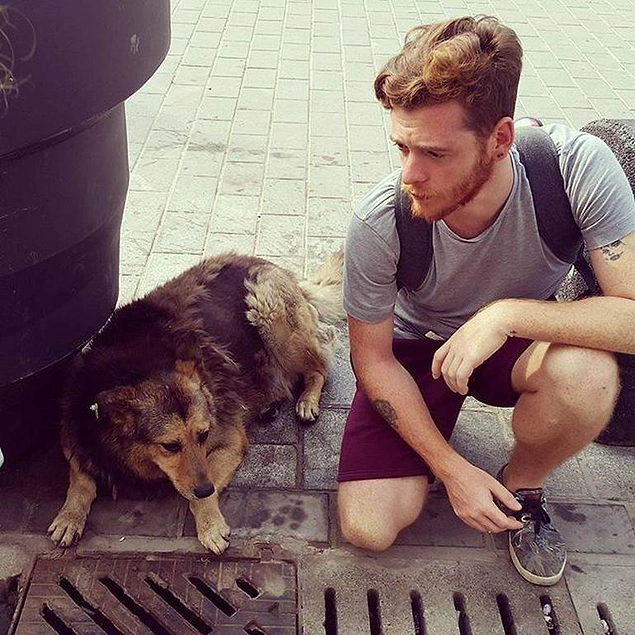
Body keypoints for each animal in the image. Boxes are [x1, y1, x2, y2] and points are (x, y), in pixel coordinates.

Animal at [47, 251, 346, 556]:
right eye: (170, 446)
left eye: (203, 435)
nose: (205, 489)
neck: (137, 368)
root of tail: (277, 268)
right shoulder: (74, 430)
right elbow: (80, 479)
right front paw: (69, 516)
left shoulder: (229, 441)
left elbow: (197, 496)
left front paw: (210, 525)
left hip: (269, 313)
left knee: (320, 364)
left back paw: (307, 400)